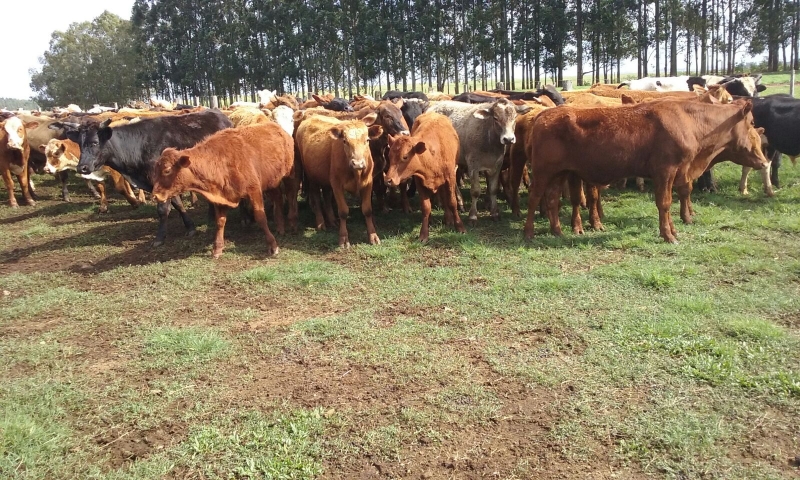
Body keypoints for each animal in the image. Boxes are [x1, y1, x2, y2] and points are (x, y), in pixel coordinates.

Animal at [55, 110, 231, 246]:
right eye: (79, 143)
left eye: (95, 142)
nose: (82, 167)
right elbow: (178, 204)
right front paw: (190, 228)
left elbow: (163, 210)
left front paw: (159, 238)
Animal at [152, 123, 296, 258]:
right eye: (156, 170)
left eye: (167, 170)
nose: (155, 195)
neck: (219, 160)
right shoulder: (220, 198)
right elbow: (220, 222)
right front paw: (217, 248)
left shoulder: (254, 190)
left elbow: (260, 217)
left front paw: (272, 246)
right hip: (271, 183)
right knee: (278, 197)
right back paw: (280, 226)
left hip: (287, 176)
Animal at [296, 113, 384, 248]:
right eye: (345, 141)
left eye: (367, 140)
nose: (358, 163)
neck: (356, 173)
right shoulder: (337, 185)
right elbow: (343, 211)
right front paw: (343, 238)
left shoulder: (368, 183)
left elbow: (367, 210)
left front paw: (373, 236)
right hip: (312, 178)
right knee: (316, 198)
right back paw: (321, 223)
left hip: (326, 179)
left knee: (327, 197)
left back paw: (332, 220)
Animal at [384, 110, 466, 242]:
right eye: (390, 155)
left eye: (405, 157)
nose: (388, 180)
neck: (432, 156)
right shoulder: (419, 181)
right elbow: (426, 207)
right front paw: (424, 234)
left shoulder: (450, 178)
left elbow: (452, 202)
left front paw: (459, 227)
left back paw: (448, 218)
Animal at [524, 101, 768, 244]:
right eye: (752, 121)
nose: (764, 162)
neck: (687, 121)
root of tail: (543, 116)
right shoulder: (665, 171)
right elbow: (665, 203)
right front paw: (668, 235)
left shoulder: (676, 173)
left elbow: (673, 200)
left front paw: (673, 230)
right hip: (543, 172)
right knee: (535, 198)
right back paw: (529, 232)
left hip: (560, 173)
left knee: (552, 199)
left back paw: (557, 231)